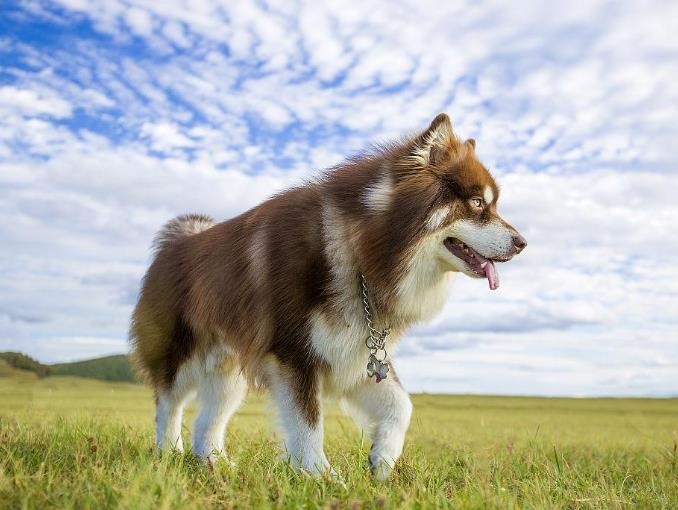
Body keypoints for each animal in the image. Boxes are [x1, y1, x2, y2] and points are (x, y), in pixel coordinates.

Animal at [130, 113, 528, 480]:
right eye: (477, 203)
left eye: (492, 205)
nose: (522, 243)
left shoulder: (356, 353)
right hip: (179, 354)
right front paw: (322, 477)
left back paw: (214, 464)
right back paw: (168, 455)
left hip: (229, 371)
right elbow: (308, 425)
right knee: (168, 405)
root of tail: (177, 242)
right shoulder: (295, 355)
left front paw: (381, 459)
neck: (360, 251)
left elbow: (402, 406)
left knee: (207, 420)